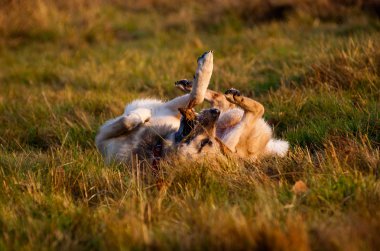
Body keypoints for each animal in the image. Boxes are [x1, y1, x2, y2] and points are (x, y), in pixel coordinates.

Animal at [95, 50, 288, 166]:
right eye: (205, 143)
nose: (215, 114)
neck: (155, 146)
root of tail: (267, 149)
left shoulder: (103, 135)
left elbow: (197, 96)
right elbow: (196, 97)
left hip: (235, 130)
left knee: (257, 108)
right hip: (230, 125)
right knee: (224, 101)